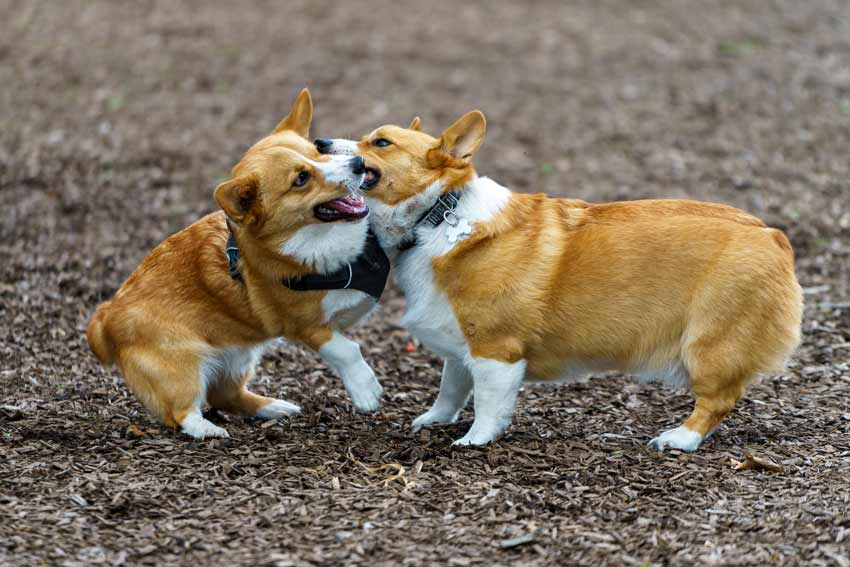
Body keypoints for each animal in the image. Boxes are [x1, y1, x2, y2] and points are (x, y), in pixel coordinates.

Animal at [85, 91, 384, 442]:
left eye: (317, 151)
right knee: (182, 412)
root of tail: (105, 317)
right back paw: (208, 430)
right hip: (184, 366)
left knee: (226, 395)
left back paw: (273, 407)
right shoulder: (306, 327)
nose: (358, 164)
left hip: (240, 356)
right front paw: (366, 391)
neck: (316, 241)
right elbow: (346, 349)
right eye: (301, 179)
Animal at [316, 112, 800, 452]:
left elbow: (488, 403)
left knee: (717, 400)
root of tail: (772, 234)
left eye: (380, 142)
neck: (438, 214)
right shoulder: (461, 342)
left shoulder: (496, 350)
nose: (319, 142)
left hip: (709, 343)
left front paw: (474, 440)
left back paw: (679, 439)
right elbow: (451, 387)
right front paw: (434, 420)